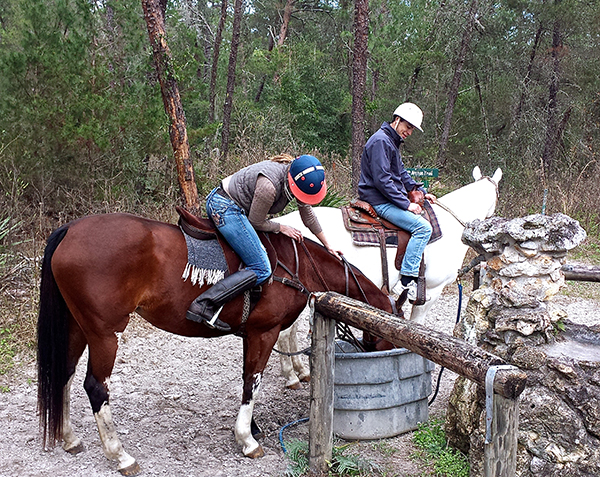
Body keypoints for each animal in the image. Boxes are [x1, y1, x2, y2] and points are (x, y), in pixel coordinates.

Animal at [36, 211, 394, 472]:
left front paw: (253, 427)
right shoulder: (265, 332)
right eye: (387, 340)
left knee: (64, 374)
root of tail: (69, 230)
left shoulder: (252, 334)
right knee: (96, 387)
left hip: (77, 327)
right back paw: (120, 454)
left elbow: (248, 381)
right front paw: (247, 440)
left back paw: (69, 438)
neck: (297, 265)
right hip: (104, 333)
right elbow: (252, 381)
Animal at [274, 166, 500, 386]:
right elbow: (416, 325)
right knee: (284, 333)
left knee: (290, 332)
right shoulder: (431, 291)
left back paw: (302, 371)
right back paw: (292, 376)